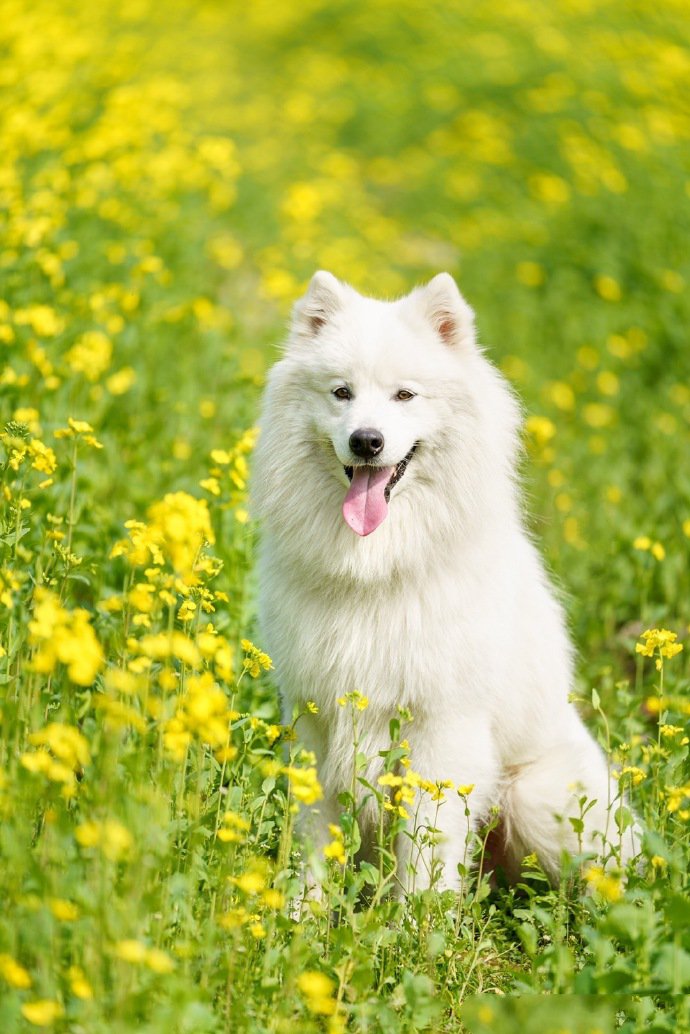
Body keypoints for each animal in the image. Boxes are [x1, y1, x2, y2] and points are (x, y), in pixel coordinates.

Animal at [252, 268, 637, 889]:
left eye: (405, 395)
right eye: (341, 393)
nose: (366, 441)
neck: (374, 567)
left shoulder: (443, 728)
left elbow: (425, 850)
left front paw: (417, 915)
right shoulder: (316, 718)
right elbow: (315, 840)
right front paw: (299, 909)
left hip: (535, 797)